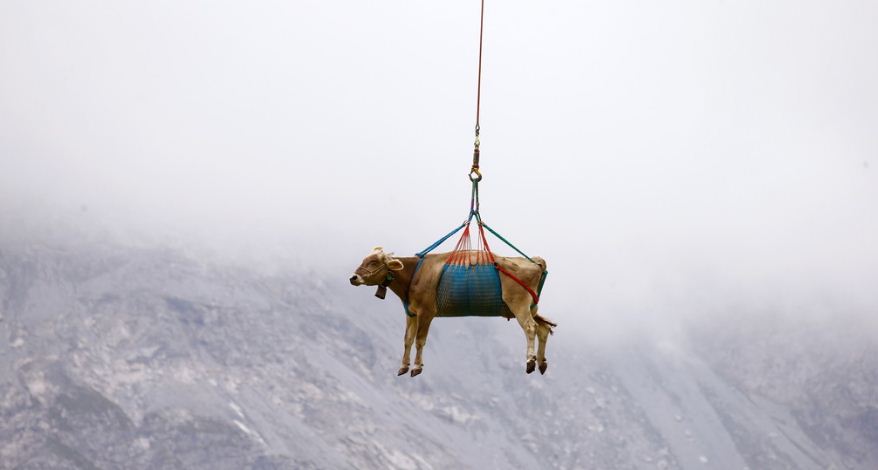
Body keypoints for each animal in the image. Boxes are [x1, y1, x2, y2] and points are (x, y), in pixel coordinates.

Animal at [350, 248, 556, 376]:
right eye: (364, 260)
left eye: (373, 262)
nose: (353, 277)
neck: (415, 274)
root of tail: (535, 262)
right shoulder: (411, 313)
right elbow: (407, 339)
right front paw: (403, 366)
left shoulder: (427, 312)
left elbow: (419, 340)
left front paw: (416, 367)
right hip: (530, 307)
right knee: (543, 328)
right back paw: (541, 362)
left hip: (518, 303)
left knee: (530, 327)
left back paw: (530, 360)